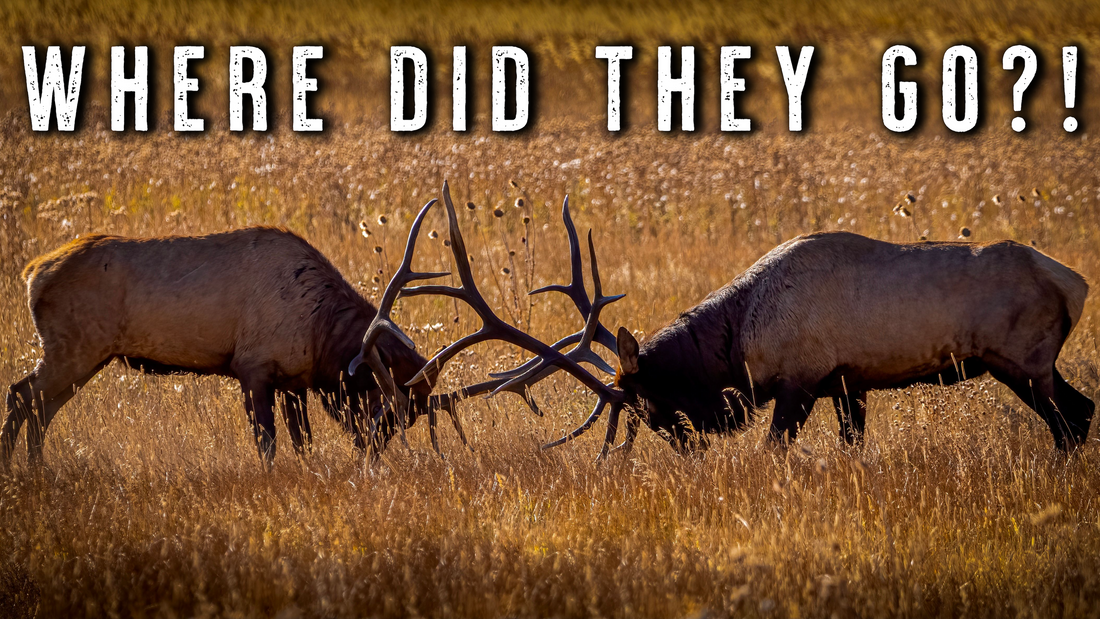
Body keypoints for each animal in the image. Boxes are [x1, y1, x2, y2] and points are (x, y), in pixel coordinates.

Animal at [1, 226, 468, 469]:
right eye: (384, 408)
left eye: (407, 419)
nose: (370, 457)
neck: (320, 334)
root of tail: (32, 273)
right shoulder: (253, 367)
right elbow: (268, 444)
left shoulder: (293, 382)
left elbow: (303, 443)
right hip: (73, 349)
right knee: (21, 394)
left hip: (84, 356)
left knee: (38, 407)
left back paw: (36, 472)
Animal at [356, 181, 1094, 459]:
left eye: (653, 405)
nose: (689, 454)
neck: (739, 341)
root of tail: (1076, 283)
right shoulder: (848, 383)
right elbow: (852, 446)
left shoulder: (800, 380)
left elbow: (774, 450)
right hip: (1030, 364)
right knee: (1083, 411)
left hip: (1022, 361)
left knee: (1072, 419)